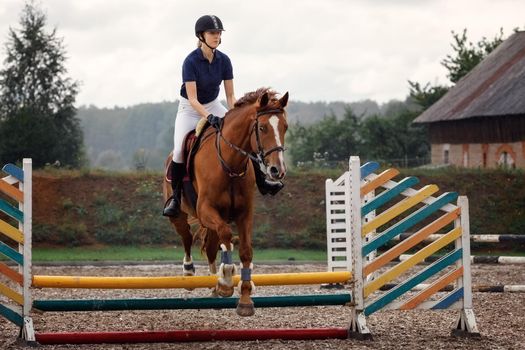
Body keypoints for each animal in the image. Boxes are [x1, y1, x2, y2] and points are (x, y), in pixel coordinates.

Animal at [163, 88, 288, 318]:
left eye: (285, 127)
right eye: (262, 127)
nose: (278, 170)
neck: (230, 163)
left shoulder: (244, 213)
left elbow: (245, 250)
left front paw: (244, 299)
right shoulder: (206, 210)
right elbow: (227, 235)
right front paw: (227, 279)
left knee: (212, 247)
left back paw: (214, 284)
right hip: (179, 215)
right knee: (187, 237)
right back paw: (190, 273)